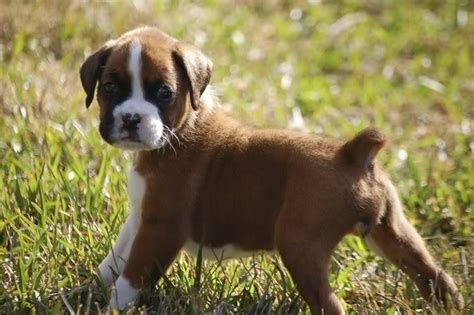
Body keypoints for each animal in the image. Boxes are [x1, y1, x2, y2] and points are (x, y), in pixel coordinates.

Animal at [80, 27, 462, 315]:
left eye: (163, 92)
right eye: (109, 87)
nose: (131, 118)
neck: (183, 128)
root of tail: (351, 153)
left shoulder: (161, 227)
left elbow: (131, 277)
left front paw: (112, 307)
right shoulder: (141, 217)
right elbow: (115, 258)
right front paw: (87, 290)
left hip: (301, 246)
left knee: (330, 305)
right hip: (391, 231)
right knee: (432, 274)